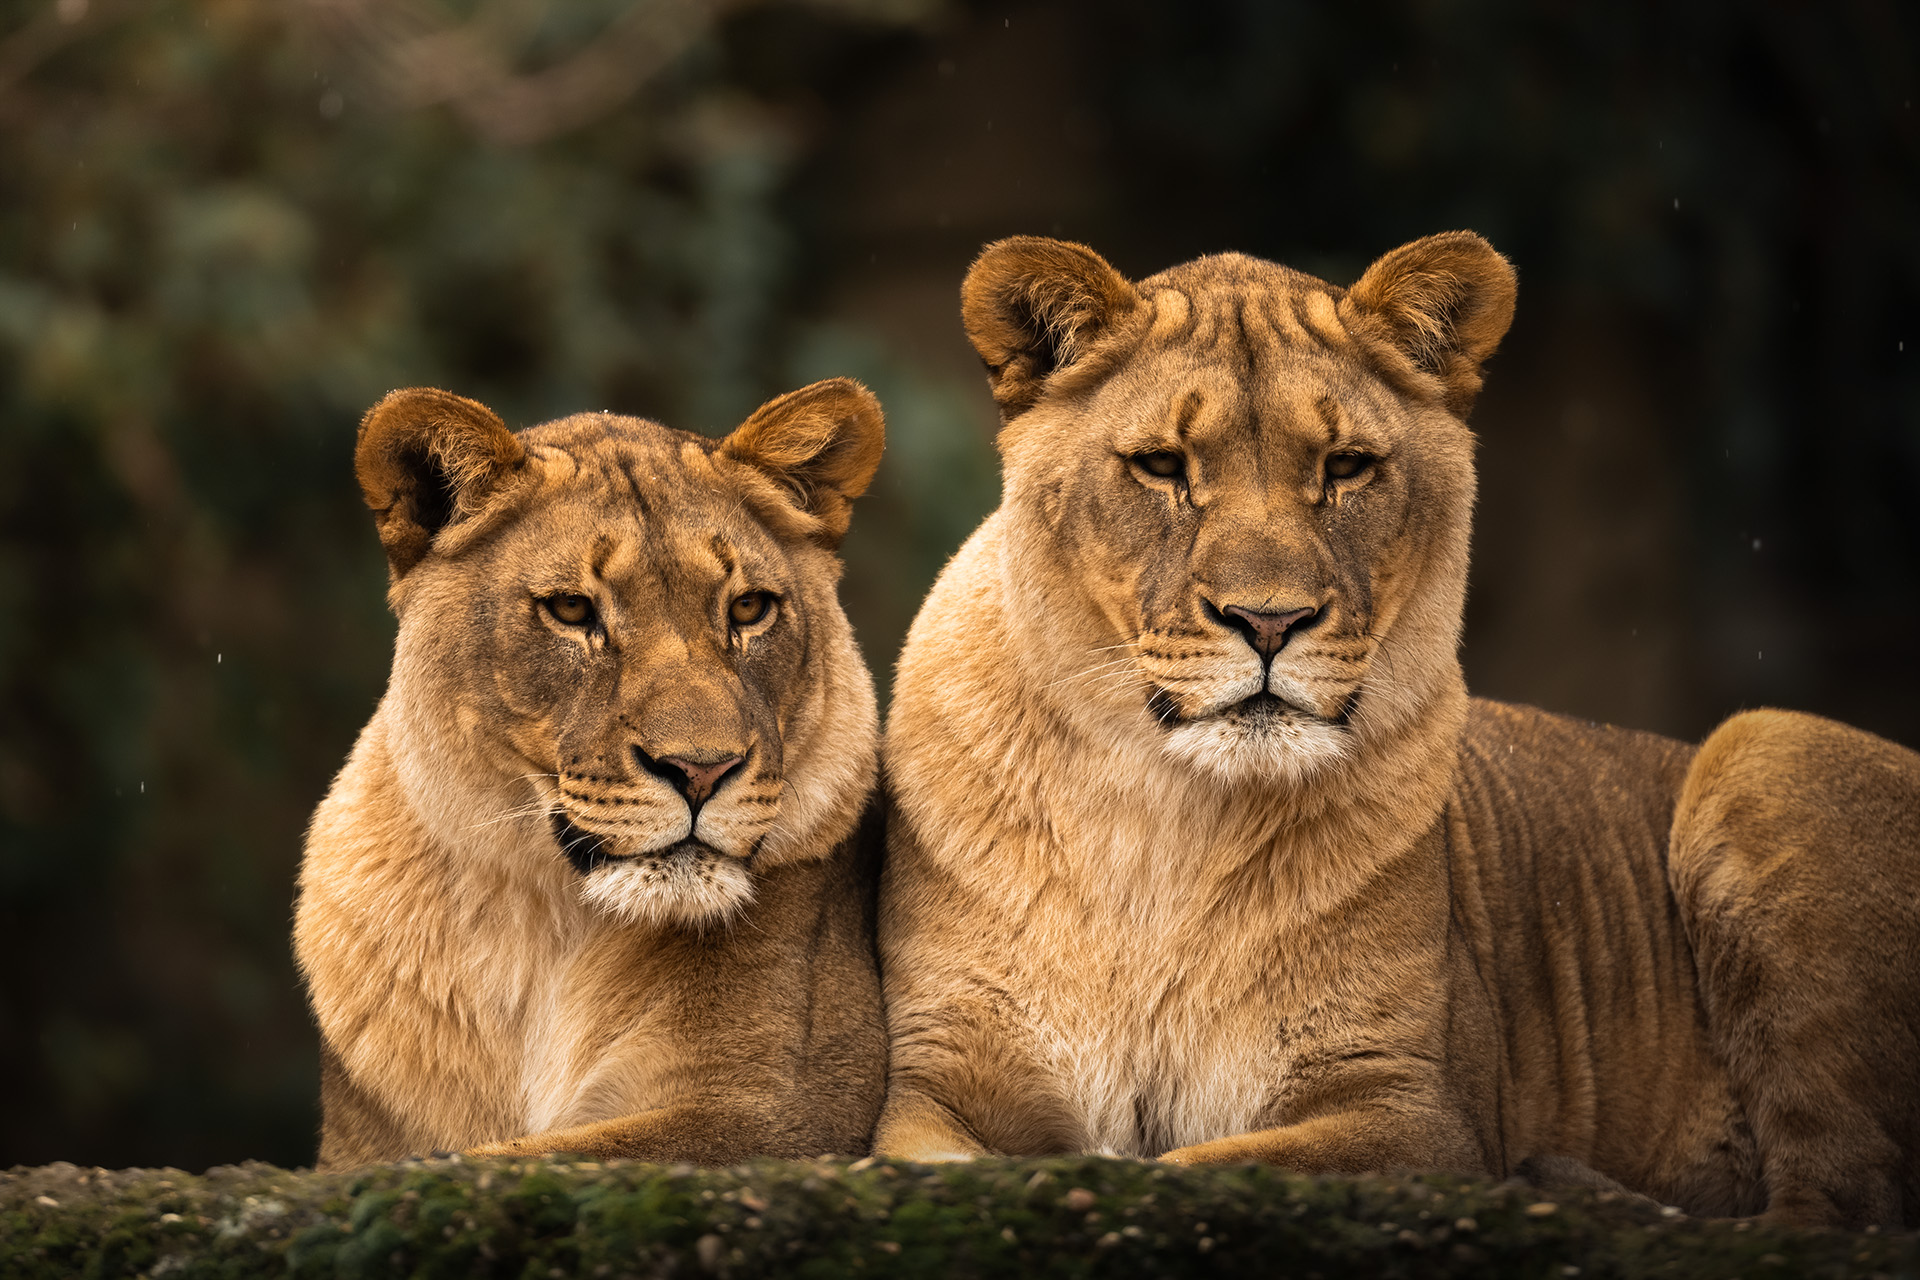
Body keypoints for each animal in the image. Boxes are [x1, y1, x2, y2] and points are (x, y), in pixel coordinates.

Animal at [873, 233, 1920, 1228]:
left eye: (1346, 468)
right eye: (1163, 466)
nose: (1268, 621)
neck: (1167, 823)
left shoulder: (1417, 1111)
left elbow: (1195, 1165)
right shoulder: (938, 1079)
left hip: (1765, 745)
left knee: (1837, 1207)